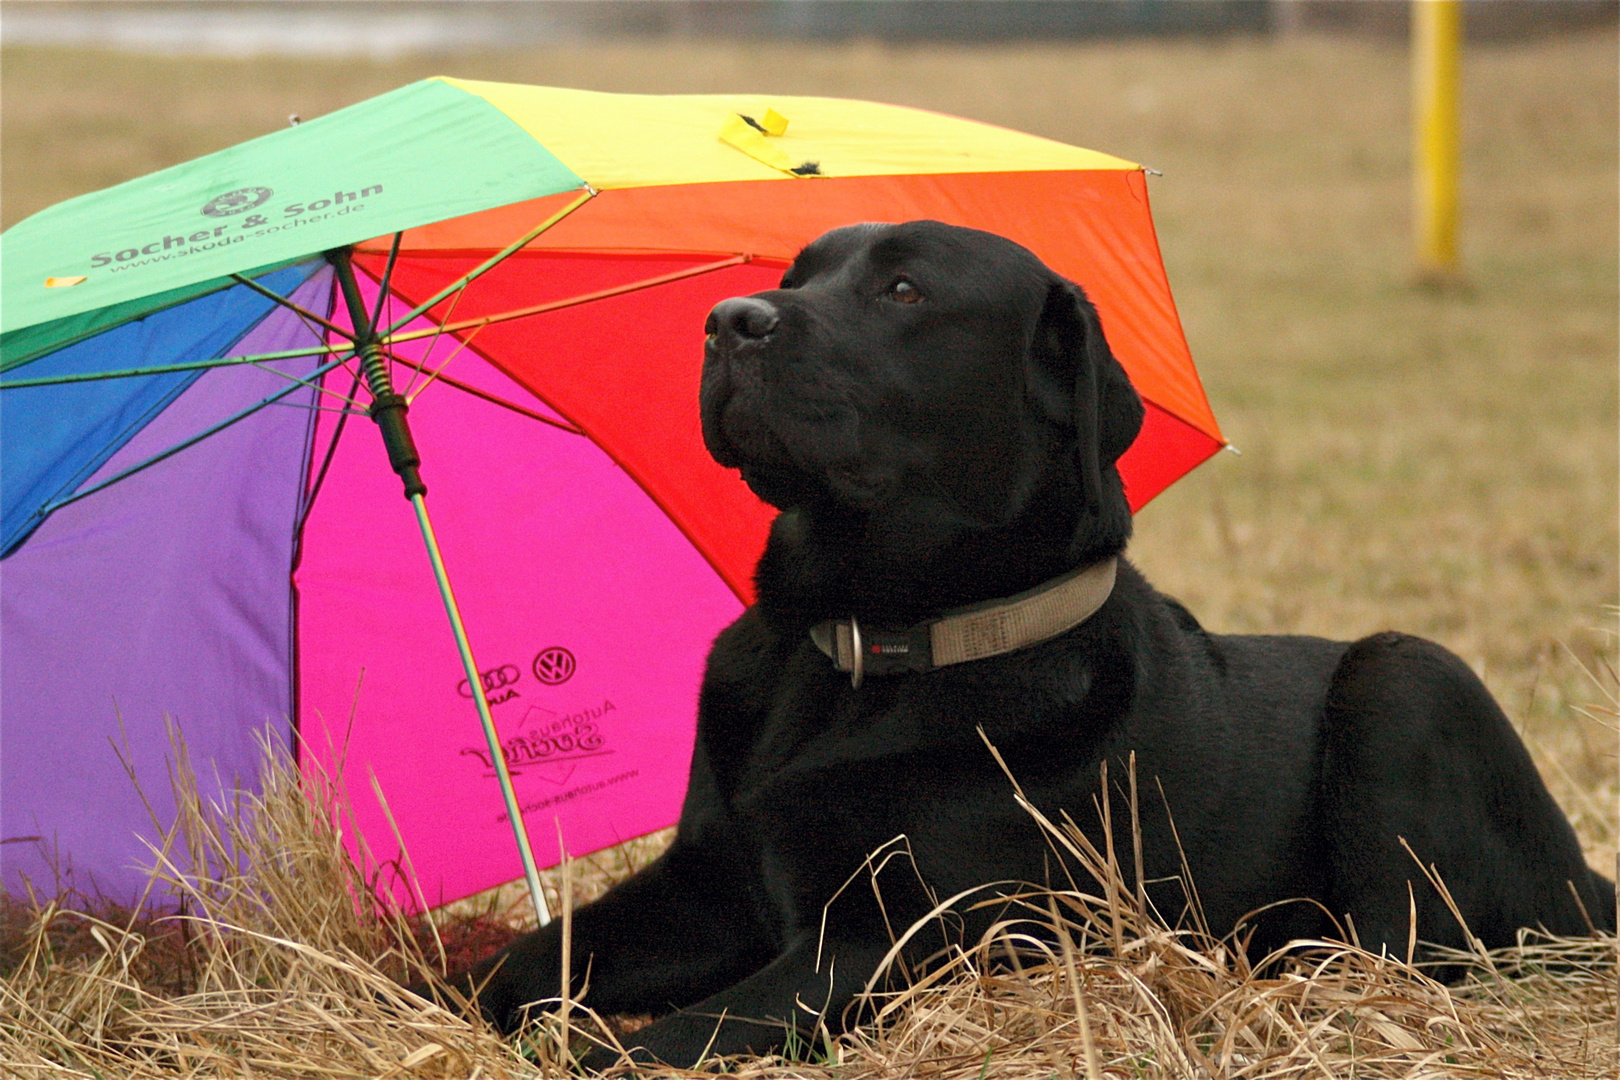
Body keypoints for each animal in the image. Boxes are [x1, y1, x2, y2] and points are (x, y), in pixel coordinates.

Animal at [440, 221, 1607, 1075]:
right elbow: (513, 967)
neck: (864, 649)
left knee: (1411, 949)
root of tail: (1591, 881)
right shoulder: (705, 886)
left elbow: (647, 1045)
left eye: (905, 290)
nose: (727, 322)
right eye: (795, 275)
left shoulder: (880, 945)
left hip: (1404, 676)